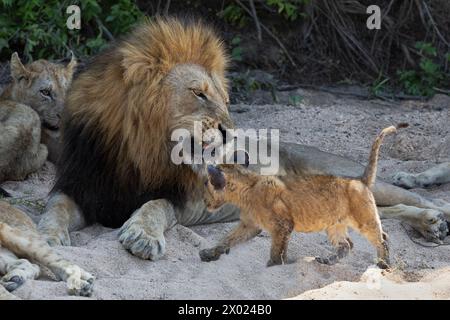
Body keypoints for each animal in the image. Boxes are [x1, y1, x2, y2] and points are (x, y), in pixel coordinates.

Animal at [200, 126, 400, 268]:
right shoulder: (249, 225)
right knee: (347, 244)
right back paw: (326, 261)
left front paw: (275, 265)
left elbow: (277, 251)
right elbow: (228, 238)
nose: (203, 202)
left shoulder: (282, 225)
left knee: (383, 237)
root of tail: (360, 179)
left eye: (205, 185)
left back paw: (384, 265)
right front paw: (210, 253)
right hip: (334, 223)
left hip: (364, 219)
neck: (248, 188)